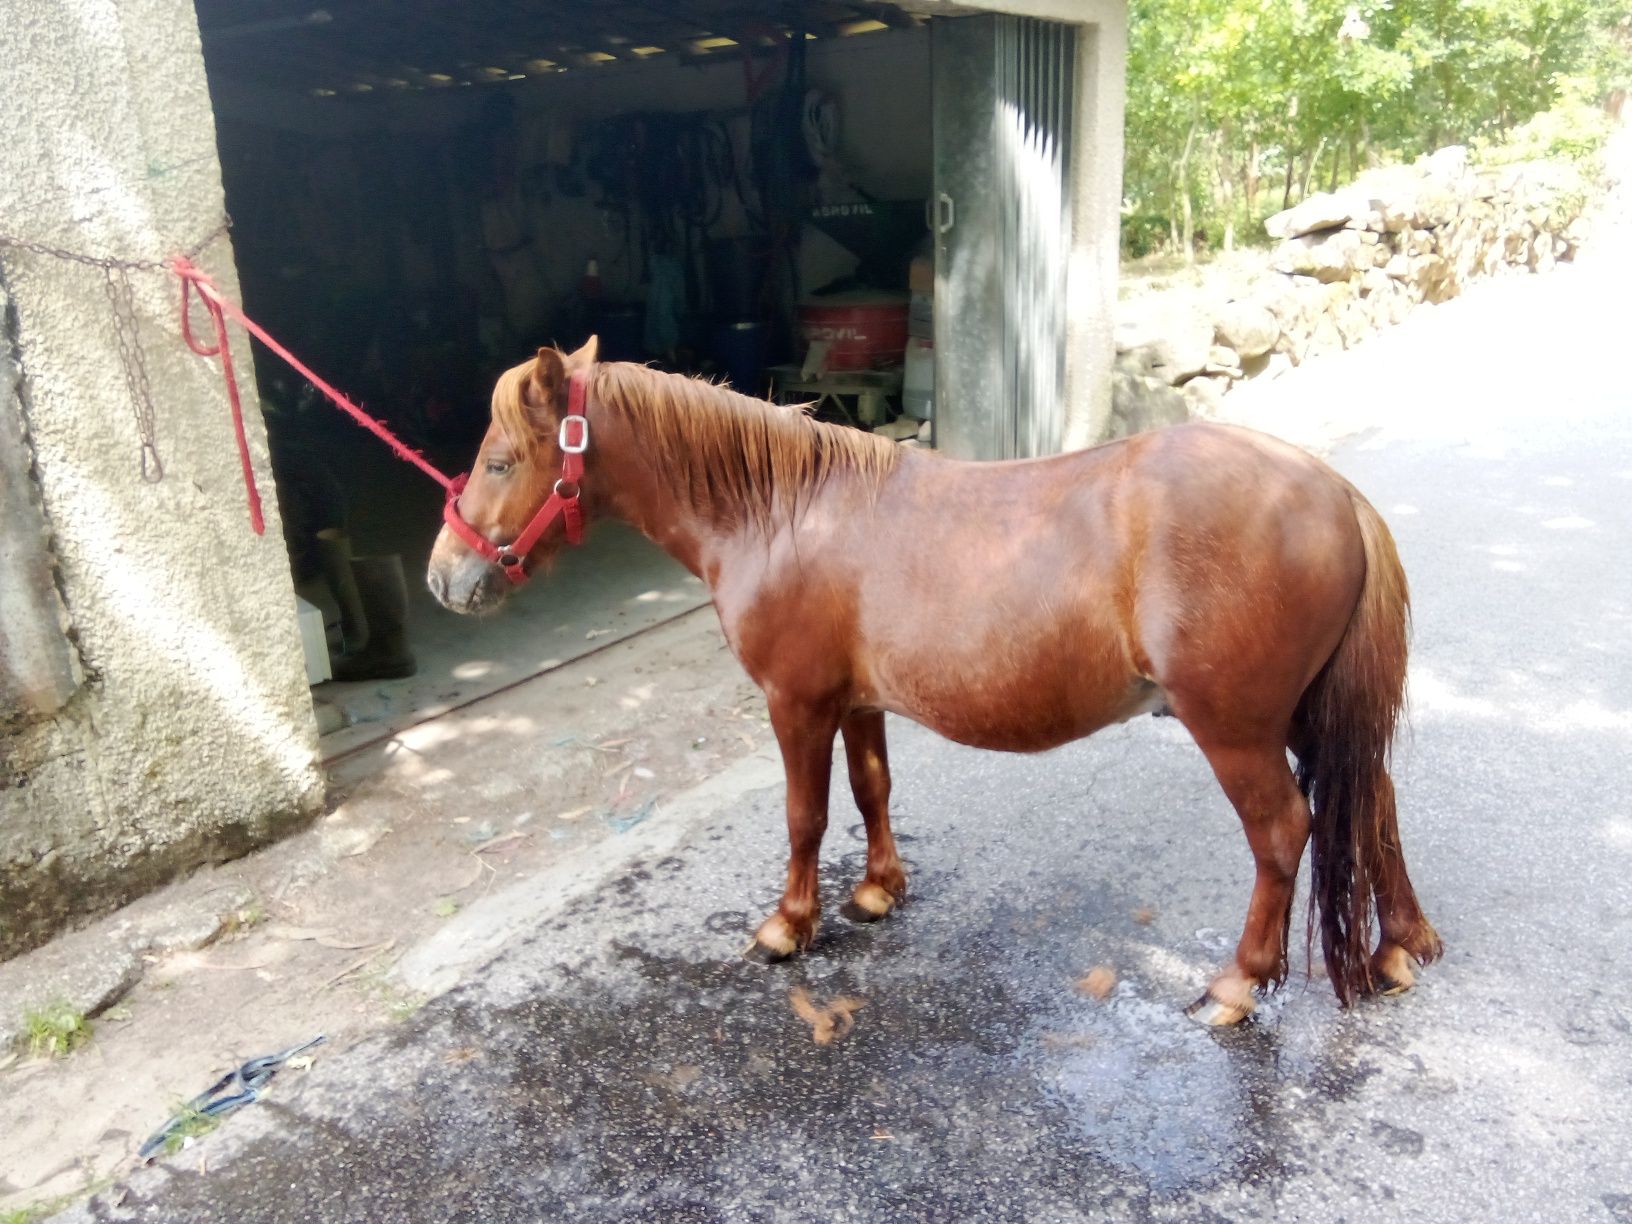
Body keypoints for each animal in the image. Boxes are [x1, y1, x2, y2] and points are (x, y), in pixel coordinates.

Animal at [424, 341, 1442, 1031]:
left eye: (501, 461)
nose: (444, 578)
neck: (781, 513)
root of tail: (1332, 491)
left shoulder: (796, 703)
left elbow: (805, 817)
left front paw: (788, 926)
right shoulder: (858, 702)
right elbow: (872, 789)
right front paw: (878, 892)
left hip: (1234, 725)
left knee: (1284, 831)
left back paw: (1237, 983)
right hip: (1307, 714)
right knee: (1375, 799)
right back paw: (1401, 946)